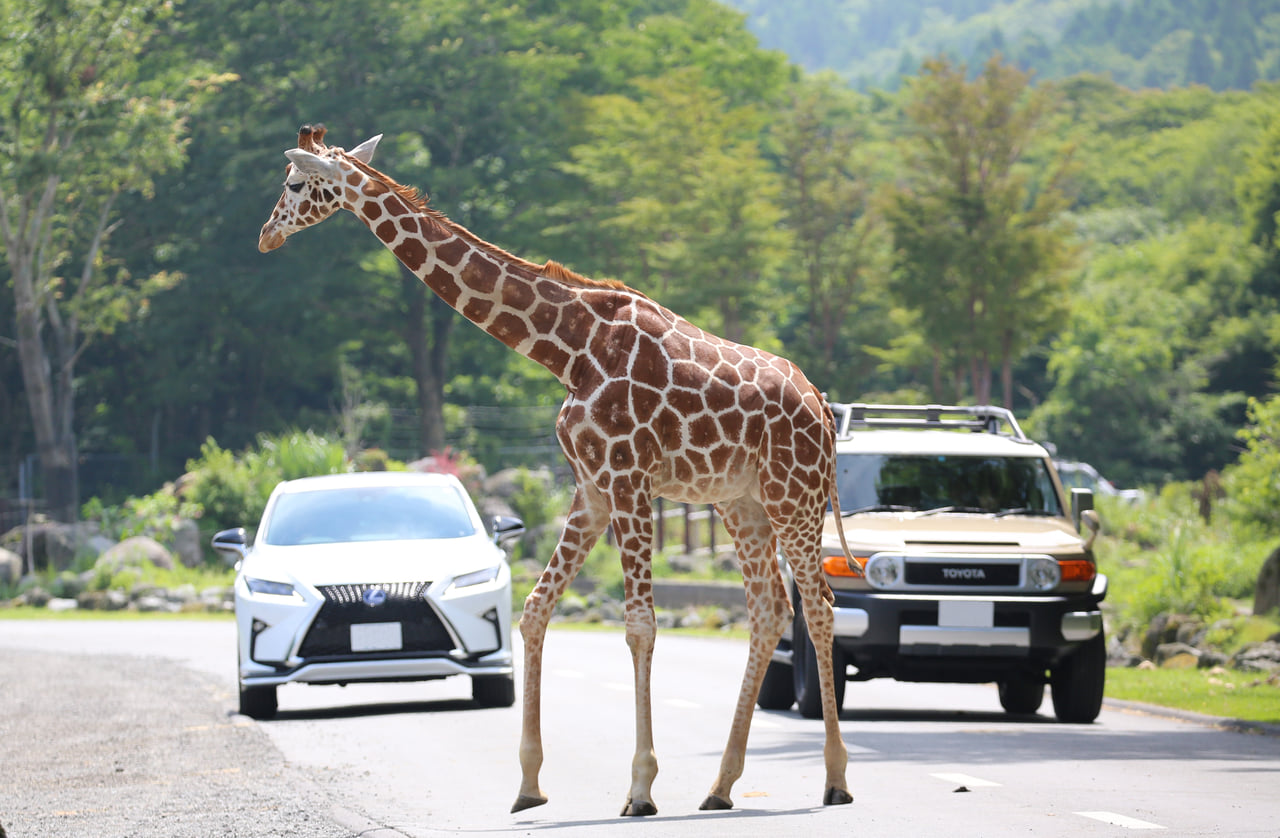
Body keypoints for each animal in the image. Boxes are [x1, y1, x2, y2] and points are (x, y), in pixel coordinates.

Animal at [256, 126, 855, 818]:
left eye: (293, 183)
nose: (265, 235)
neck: (567, 348)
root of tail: (822, 405)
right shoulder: (591, 488)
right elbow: (535, 609)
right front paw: (528, 784)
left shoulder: (627, 479)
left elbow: (639, 625)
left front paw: (640, 789)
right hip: (742, 502)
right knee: (768, 613)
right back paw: (721, 786)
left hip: (795, 496)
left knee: (820, 607)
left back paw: (835, 778)